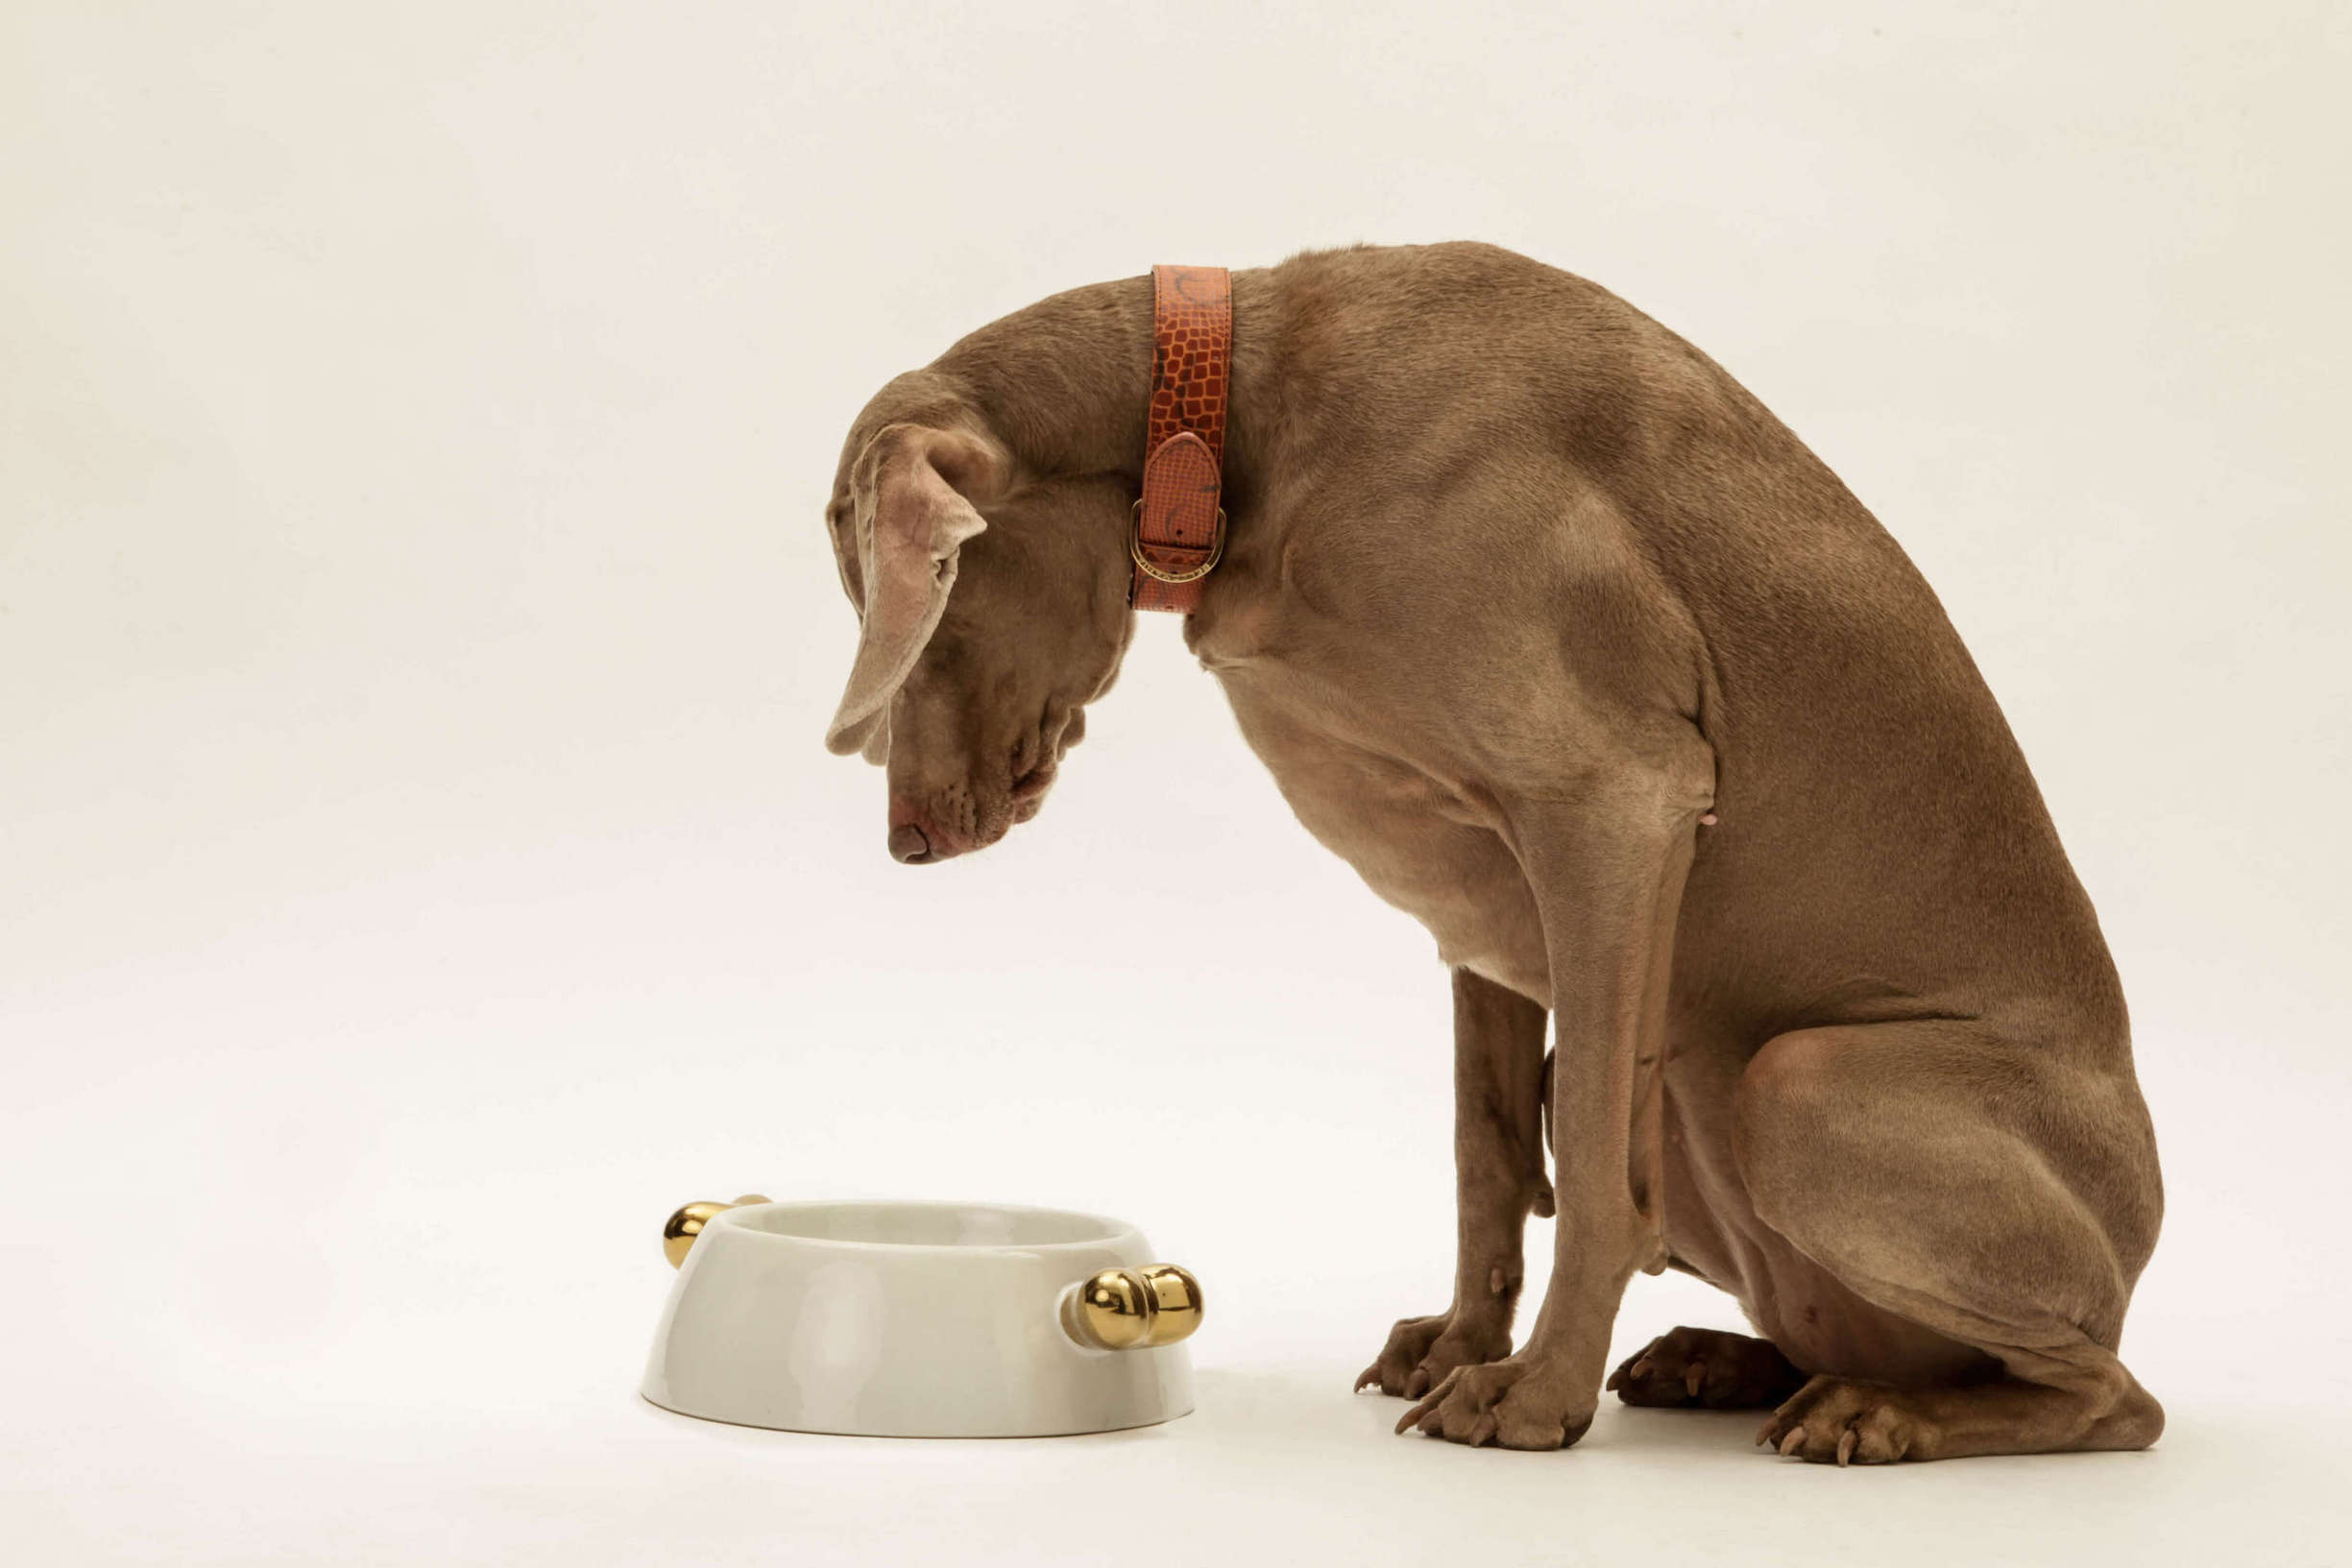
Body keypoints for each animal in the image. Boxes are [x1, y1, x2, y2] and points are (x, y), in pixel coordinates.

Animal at [818, 242, 2154, 1457]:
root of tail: (2137, 1250)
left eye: (935, 601)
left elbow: (1599, 1191)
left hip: (1798, 1083)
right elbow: (1485, 1156)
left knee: (2109, 1397)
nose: (906, 842)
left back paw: (1880, 1414)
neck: (1243, 414)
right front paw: (1462, 1344)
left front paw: (1532, 1394)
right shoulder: (1482, 895)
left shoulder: (1615, 804)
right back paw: (1728, 1363)